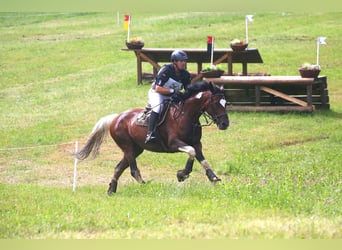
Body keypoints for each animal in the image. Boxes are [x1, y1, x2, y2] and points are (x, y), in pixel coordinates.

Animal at [75, 81, 230, 194]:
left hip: (136, 149)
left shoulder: (197, 143)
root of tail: (116, 118)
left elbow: (203, 160)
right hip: (127, 146)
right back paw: (145, 185)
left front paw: (213, 178)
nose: (225, 124)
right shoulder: (174, 143)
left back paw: (111, 190)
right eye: (215, 103)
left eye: (225, 103)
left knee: (119, 168)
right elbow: (191, 152)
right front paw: (182, 174)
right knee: (133, 170)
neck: (186, 115)